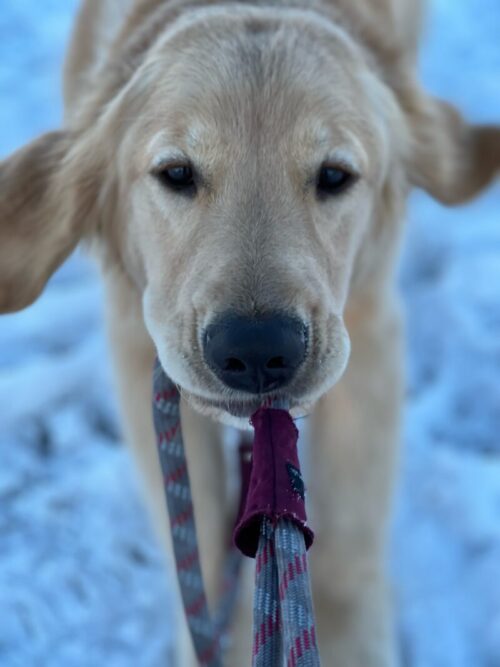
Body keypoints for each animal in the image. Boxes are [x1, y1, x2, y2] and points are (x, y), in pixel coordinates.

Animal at [0, 0, 500, 664]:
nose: (258, 352)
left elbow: (351, 535)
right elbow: (200, 550)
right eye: (176, 172)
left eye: (334, 176)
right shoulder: (139, 341)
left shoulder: (368, 328)